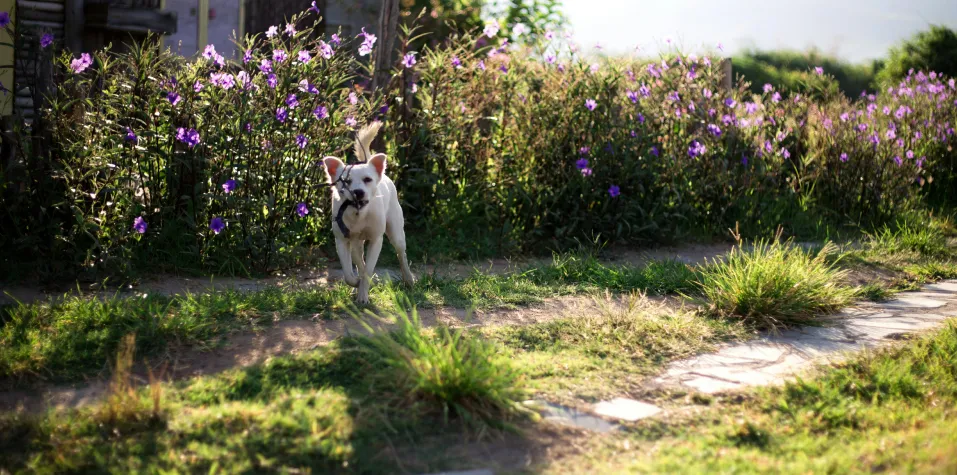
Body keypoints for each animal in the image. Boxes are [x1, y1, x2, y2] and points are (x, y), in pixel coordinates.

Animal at [324, 121, 412, 304]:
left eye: (367, 180)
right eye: (346, 181)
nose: (358, 192)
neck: (359, 214)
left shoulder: (376, 240)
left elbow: (368, 270)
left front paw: (363, 295)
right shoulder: (342, 241)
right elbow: (349, 273)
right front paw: (357, 283)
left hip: (396, 234)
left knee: (401, 254)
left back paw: (408, 279)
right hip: (356, 243)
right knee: (359, 259)